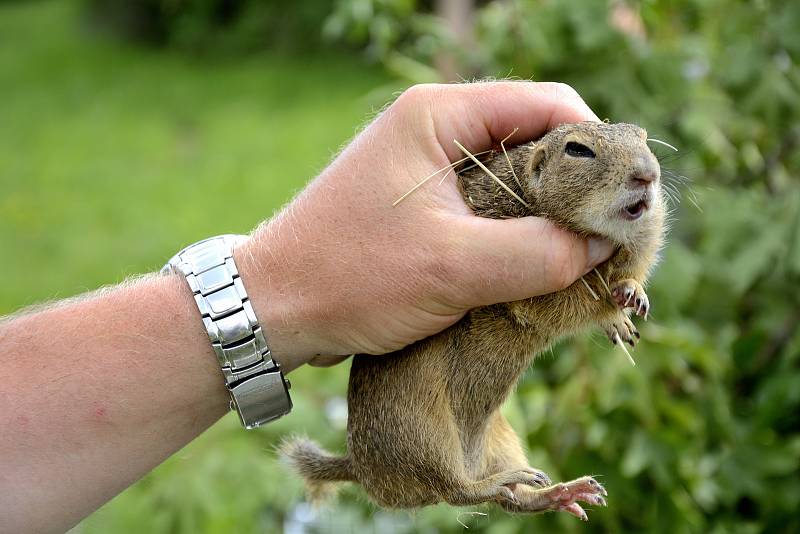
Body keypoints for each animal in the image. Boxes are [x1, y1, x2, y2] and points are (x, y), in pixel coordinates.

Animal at [284, 121, 664, 524]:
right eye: (578, 150)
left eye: (642, 135)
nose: (648, 174)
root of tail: (359, 468)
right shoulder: (529, 287)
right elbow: (571, 303)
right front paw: (613, 314)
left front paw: (633, 293)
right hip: (424, 435)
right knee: (457, 490)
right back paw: (504, 481)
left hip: (502, 436)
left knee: (514, 501)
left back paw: (561, 491)